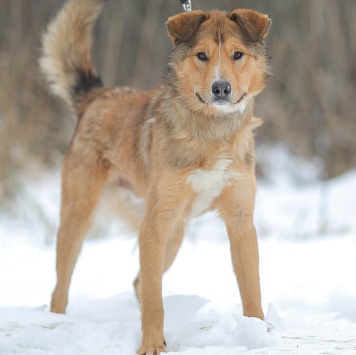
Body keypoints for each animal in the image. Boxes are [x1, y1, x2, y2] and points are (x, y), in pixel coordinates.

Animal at [40, 1, 272, 354]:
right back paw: (57, 322)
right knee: (62, 285)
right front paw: (151, 345)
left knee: (139, 281)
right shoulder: (155, 224)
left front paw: (256, 333)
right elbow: (154, 299)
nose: (221, 88)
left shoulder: (241, 221)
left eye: (237, 55)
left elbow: (252, 287)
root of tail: (98, 95)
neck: (212, 132)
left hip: (174, 234)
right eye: (202, 55)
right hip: (80, 216)